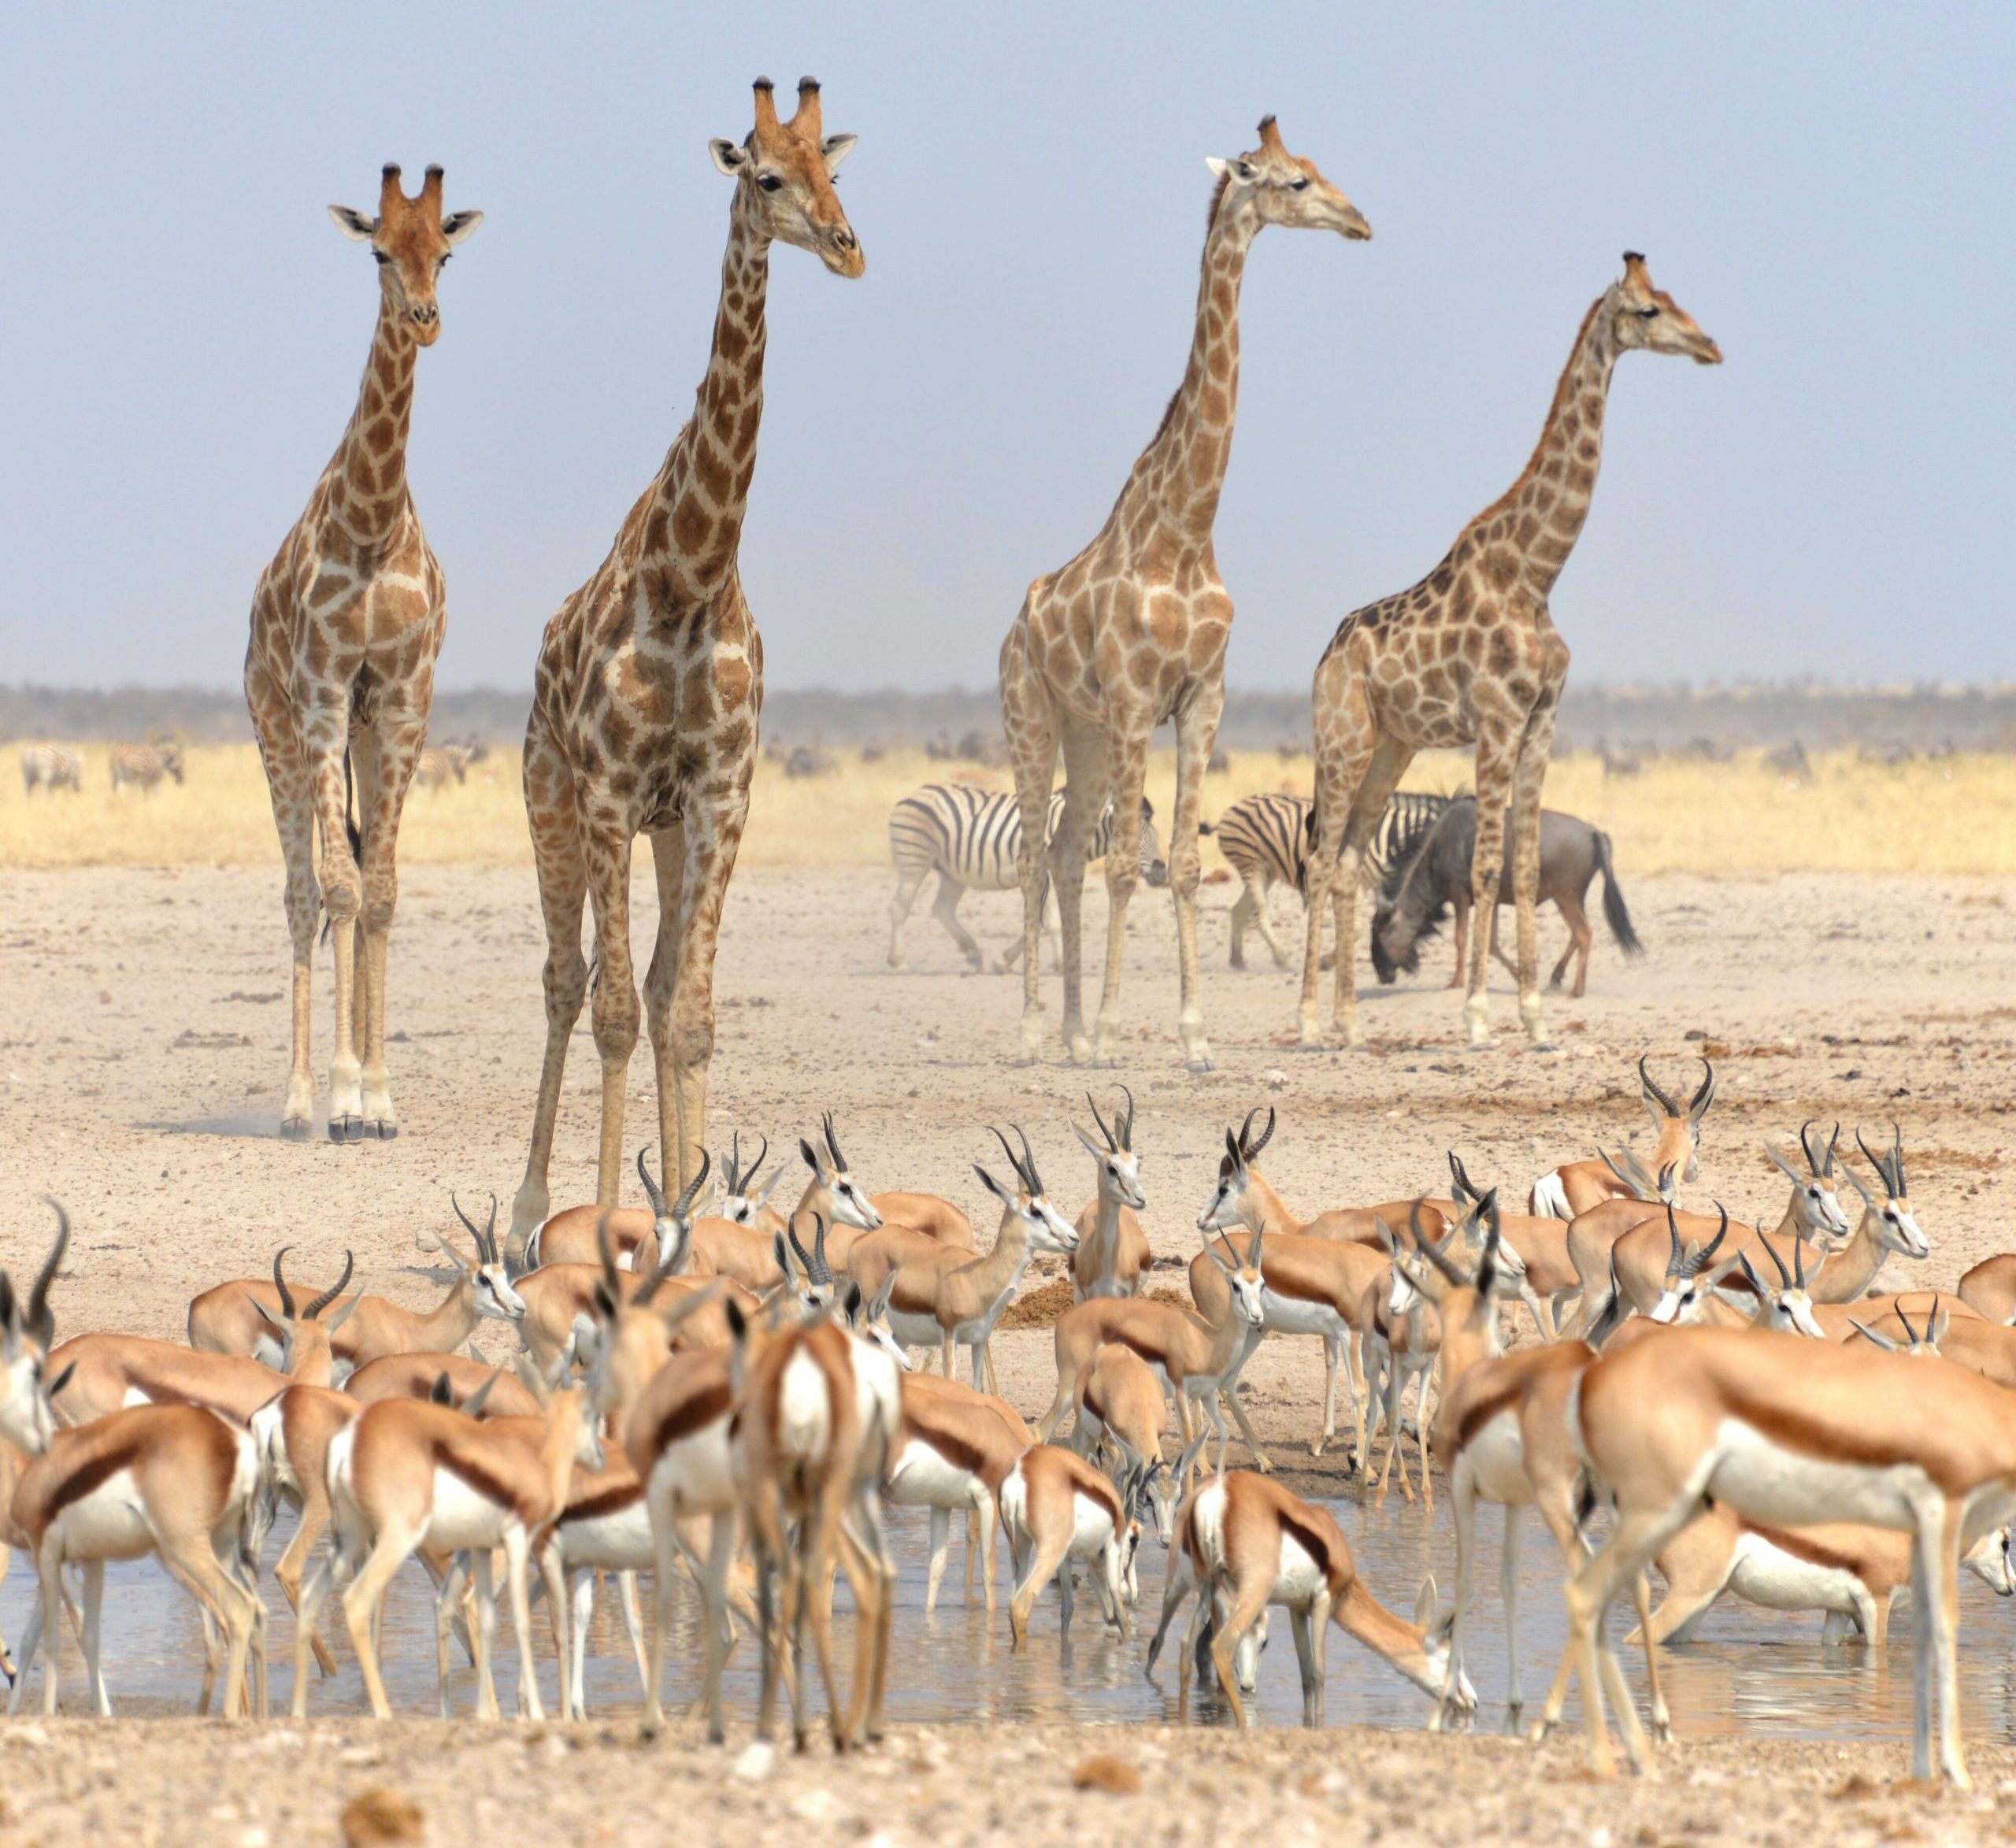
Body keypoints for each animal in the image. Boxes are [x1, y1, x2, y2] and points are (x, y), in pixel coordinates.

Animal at [507, 78, 862, 1257]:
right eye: (769, 176)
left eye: (837, 170)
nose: (846, 247)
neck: (692, 574)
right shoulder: (610, 794)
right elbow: (616, 1010)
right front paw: (603, 1224)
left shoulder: (717, 796)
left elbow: (688, 1013)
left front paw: (687, 1212)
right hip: (551, 796)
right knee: (567, 981)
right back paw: (531, 1211)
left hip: (662, 832)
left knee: (656, 988)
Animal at [888, 782, 1167, 973]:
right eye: (1133, 842)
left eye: (1156, 836)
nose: (1161, 873)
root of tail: (911, 795)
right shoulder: (1049, 874)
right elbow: (1051, 921)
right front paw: (1061, 964)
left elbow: (1039, 921)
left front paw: (1003, 961)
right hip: (915, 860)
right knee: (900, 907)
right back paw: (898, 961)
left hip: (952, 872)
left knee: (942, 908)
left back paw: (973, 953)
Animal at [1000, 117, 1370, 1071]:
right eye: (1290, 181)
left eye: (1318, 169)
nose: (1359, 222)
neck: (1188, 529)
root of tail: (1014, 626)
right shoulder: (1137, 697)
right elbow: (1131, 863)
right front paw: (1111, 1032)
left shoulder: (1202, 697)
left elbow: (1183, 859)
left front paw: (1194, 1036)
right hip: (1034, 718)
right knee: (1032, 856)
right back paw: (1036, 1032)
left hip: (1088, 736)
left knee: (1064, 854)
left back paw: (1065, 1032)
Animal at [1202, 790, 1450, 968]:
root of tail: (1228, 811)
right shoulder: (1353, 880)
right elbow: (1356, 926)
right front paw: (1329, 961)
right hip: (1251, 864)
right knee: (1258, 913)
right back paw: (1281, 958)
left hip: (1266, 869)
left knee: (1239, 911)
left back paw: (1237, 961)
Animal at [1297, 253, 1720, 1053]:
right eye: (1648, 310)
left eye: (1675, 296)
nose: (1710, 346)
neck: (1536, 571)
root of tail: (1324, 658)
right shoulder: (1494, 719)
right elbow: (1488, 865)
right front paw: (1477, 1019)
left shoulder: (1542, 719)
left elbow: (1523, 866)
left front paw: (1535, 1017)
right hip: (1341, 737)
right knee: (1318, 855)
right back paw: (1307, 1023)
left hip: (1391, 745)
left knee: (1347, 861)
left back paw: (1349, 1023)